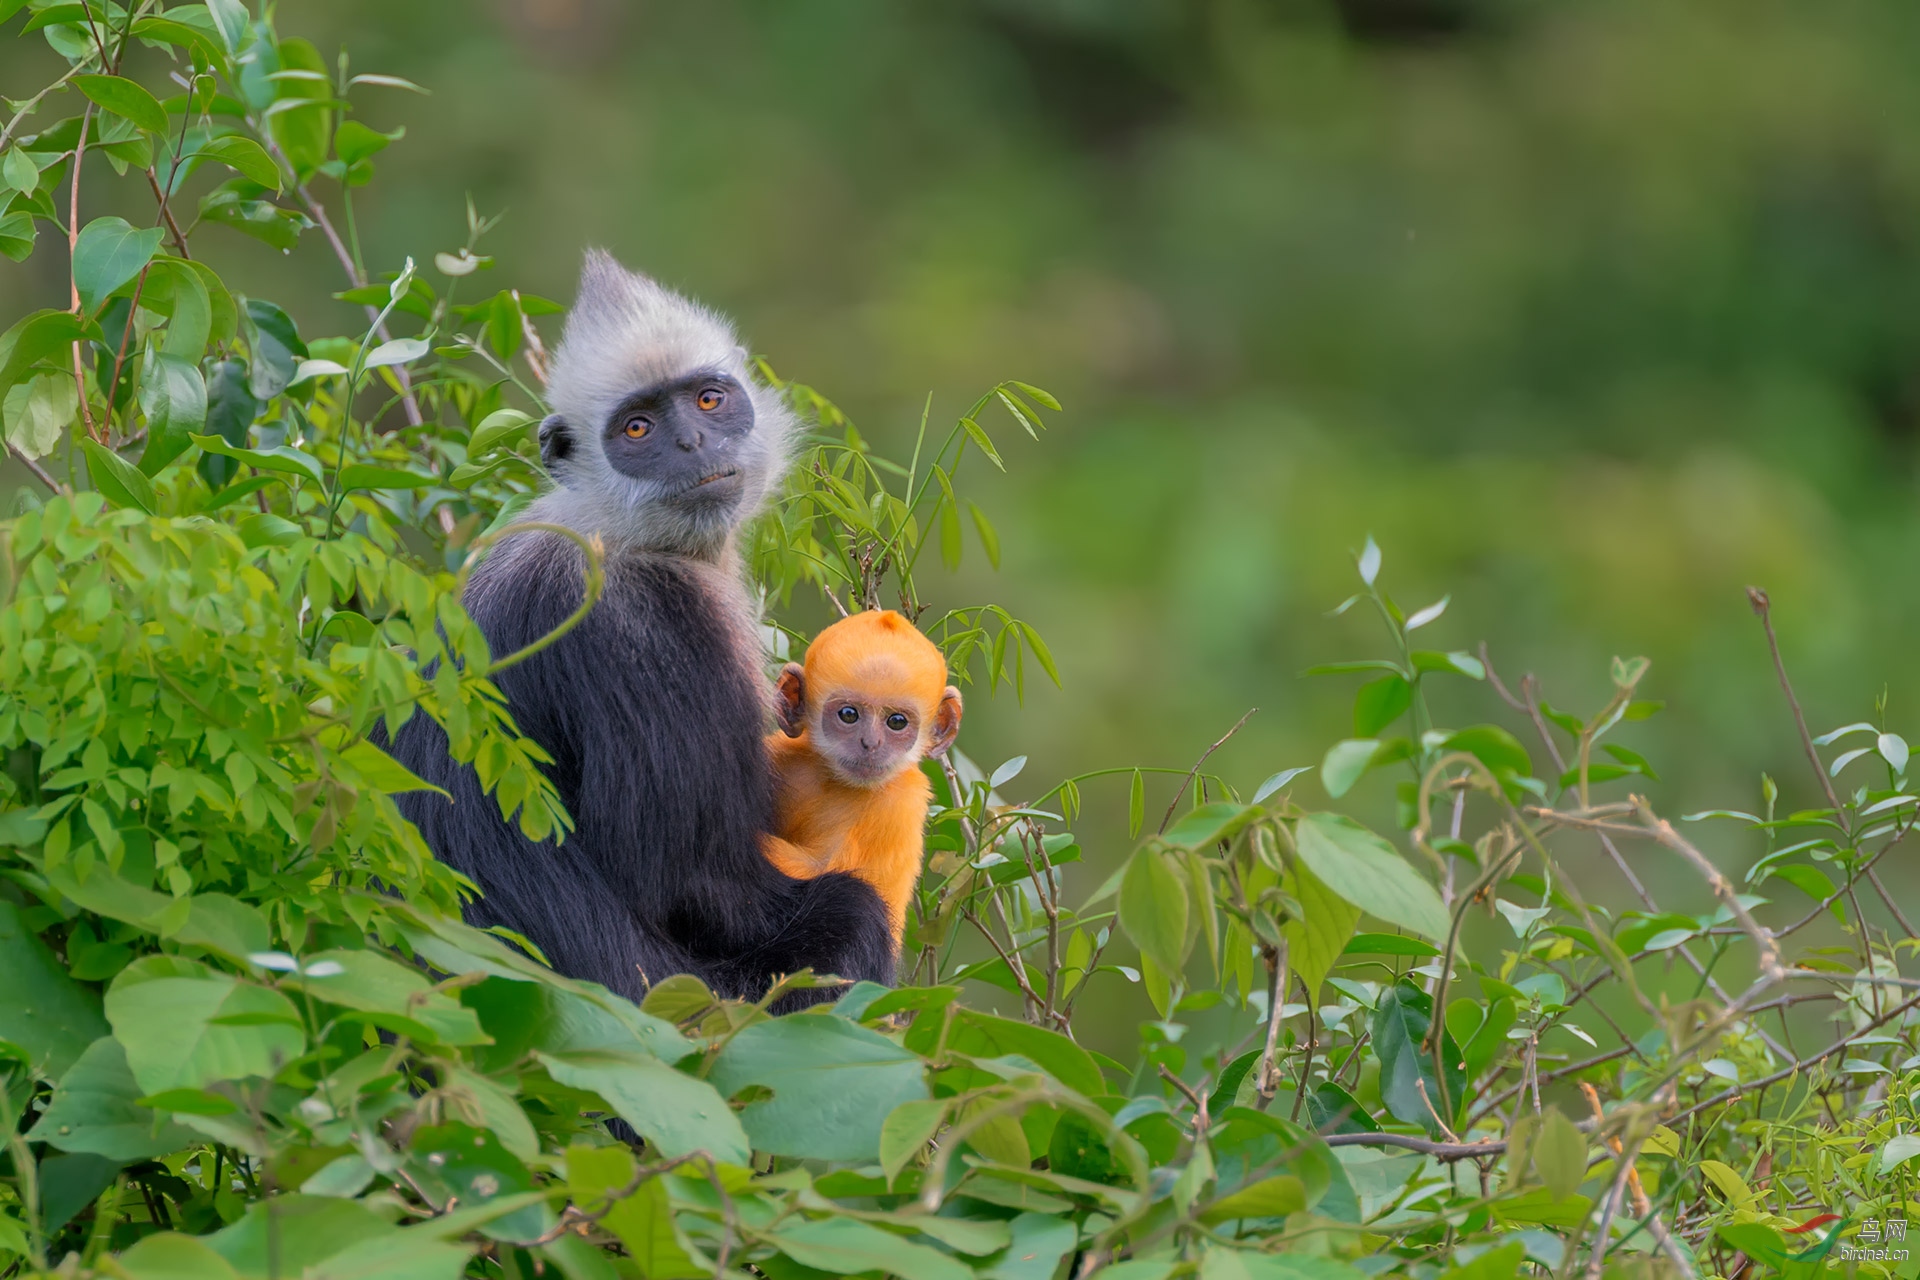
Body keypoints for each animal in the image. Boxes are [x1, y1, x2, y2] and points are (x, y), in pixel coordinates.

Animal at [393, 253, 902, 1013]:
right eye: (636, 429)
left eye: (708, 401)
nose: (692, 443)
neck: (614, 531)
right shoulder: (650, 622)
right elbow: (679, 883)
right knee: (849, 914)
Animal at [760, 610, 960, 940]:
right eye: (849, 715)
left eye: (896, 721)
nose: (870, 743)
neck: (838, 783)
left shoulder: (899, 803)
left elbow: (823, 873)